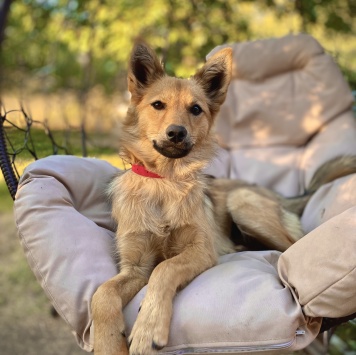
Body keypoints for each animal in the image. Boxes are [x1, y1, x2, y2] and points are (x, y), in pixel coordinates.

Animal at [91, 42, 356, 355]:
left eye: (195, 109)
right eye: (158, 105)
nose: (176, 133)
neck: (165, 184)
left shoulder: (200, 250)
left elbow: (165, 269)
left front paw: (148, 327)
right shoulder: (135, 267)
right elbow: (103, 293)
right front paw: (108, 342)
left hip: (242, 203)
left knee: (290, 248)